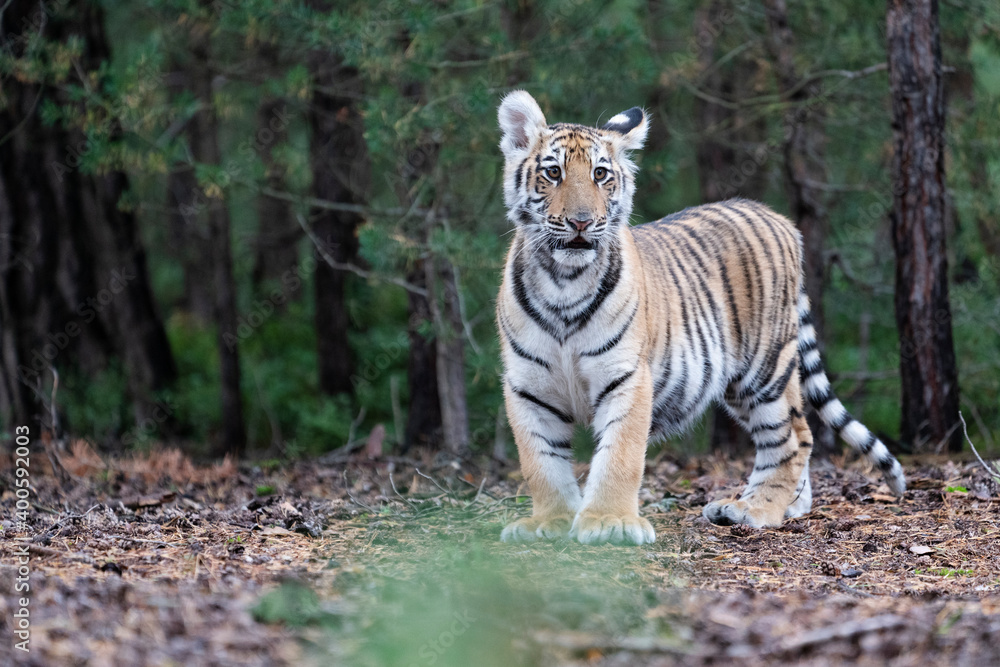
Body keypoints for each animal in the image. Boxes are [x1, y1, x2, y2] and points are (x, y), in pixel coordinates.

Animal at [494, 90, 906, 546]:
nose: (582, 222)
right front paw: (548, 522)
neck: (563, 281)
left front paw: (609, 522)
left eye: (601, 174)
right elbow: (540, 461)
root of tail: (779, 218)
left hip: (764, 369)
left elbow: (620, 454)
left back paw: (755, 509)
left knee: (794, 436)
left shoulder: (627, 376)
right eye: (553, 172)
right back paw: (786, 507)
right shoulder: (528, 386)